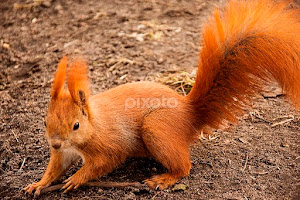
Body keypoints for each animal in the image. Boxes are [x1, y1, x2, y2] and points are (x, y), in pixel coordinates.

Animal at [24, 0, 300, 195]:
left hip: (156, 127)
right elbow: (54, 169)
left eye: (76, 125)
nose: (55, 143)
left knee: (184, 166)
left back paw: (164, 179)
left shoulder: (110, 144)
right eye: (45, 122)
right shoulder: (63, 154)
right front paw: (38, 184)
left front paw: (76, 178)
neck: (92, 128)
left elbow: (104, 162)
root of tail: (190, 113)